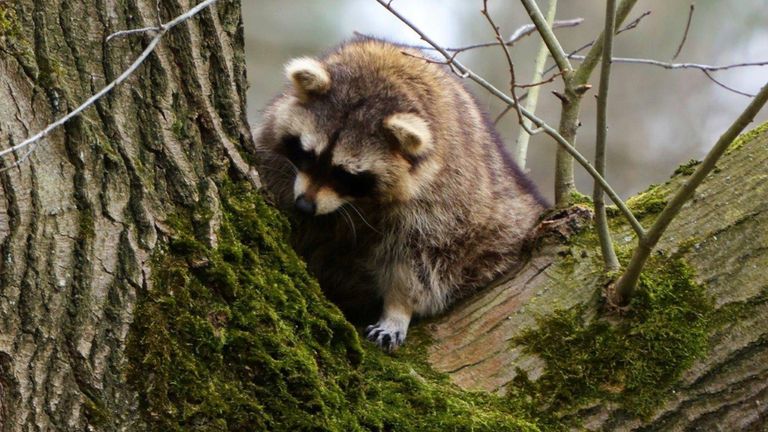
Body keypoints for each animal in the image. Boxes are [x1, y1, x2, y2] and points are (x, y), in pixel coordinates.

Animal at [256, 37, 544, 352]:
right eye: (307, 154)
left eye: (346, 175)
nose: (305, 206)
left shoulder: (439, 200)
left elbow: (418, 260)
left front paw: (398, 309)